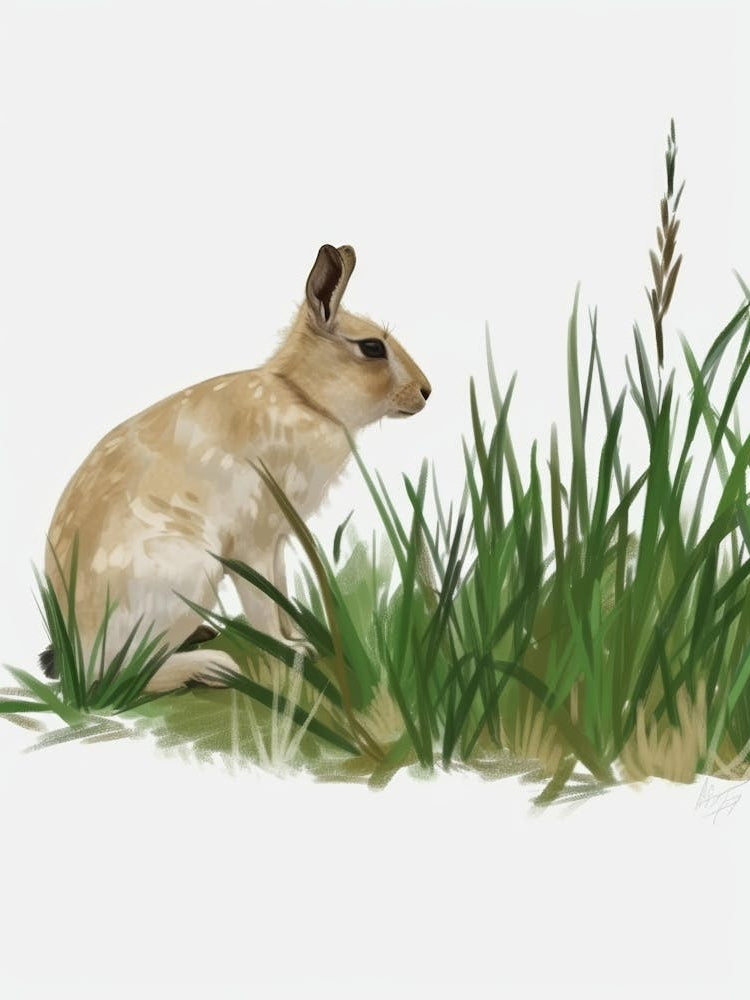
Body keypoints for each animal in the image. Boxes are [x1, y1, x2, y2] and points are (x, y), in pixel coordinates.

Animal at [39, 244, 431, 693]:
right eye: (371, 348)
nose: (426, 391)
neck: (304, 397)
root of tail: (78, 649)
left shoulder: (278, 539)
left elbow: (280, 590)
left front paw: (299, 637)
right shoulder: (252, 543)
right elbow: (262, 602)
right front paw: (291, 650)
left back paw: (202, 636)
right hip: (191, 573)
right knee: (118, 678)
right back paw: (213, 666)